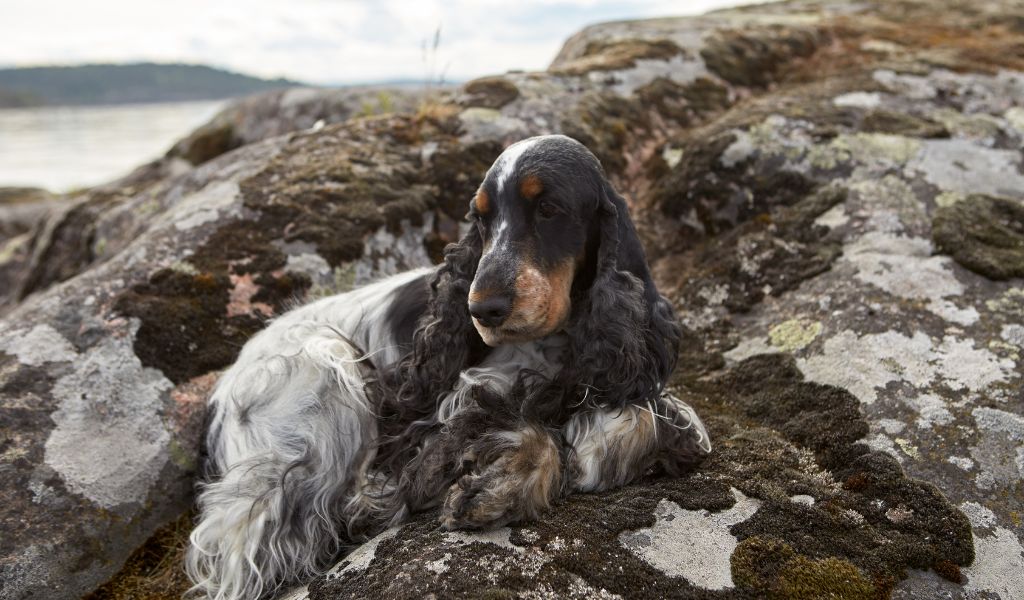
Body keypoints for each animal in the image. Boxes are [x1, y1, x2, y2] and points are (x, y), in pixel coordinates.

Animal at [186, 135, 712, 597]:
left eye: (548, 209)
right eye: (480, 219)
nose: (483, 309)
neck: (558, 343)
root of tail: (220, 394)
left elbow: (641, 420)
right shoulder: (438, 415)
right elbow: (514, 431)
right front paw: (501, 484)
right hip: (323, 367)